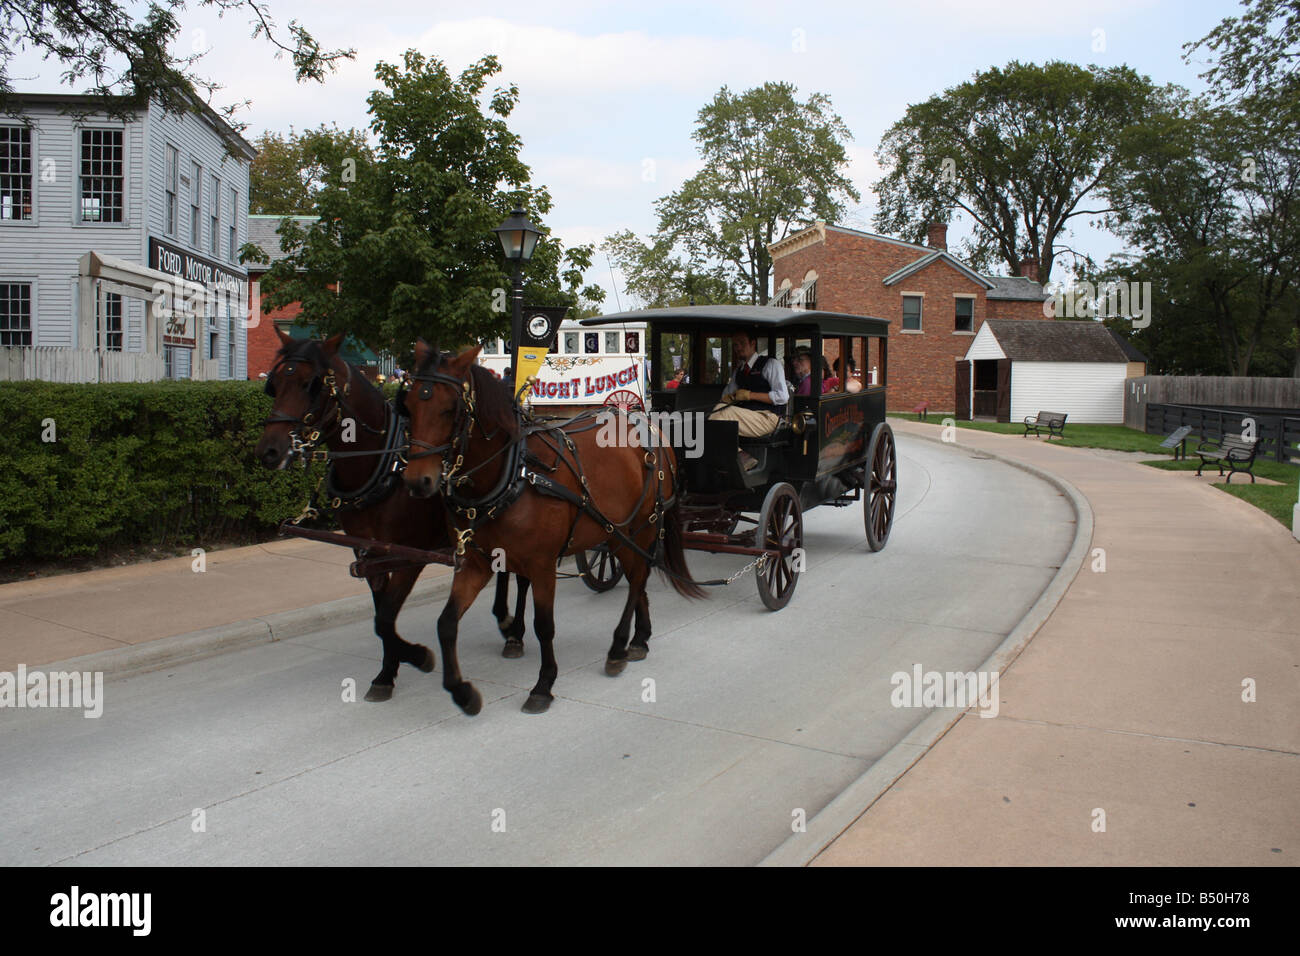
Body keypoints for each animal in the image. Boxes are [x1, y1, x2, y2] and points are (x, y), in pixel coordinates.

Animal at [253, 330, 527, 702]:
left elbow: (385, 618)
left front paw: (419, 657)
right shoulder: (370, 552)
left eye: (312, 384)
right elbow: (381, 618)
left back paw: (515, 632)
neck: (383, 466)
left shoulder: (410, 554)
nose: (270, 450)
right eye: (276, 383)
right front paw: (387, 672)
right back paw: (504, 621)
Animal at [405, 340, 707, 712]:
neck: (514, 474)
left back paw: (619, 646)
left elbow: (544, 625)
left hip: (641, 526)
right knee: (638, 574)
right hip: (618, 533)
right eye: (407, 406)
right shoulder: (477, 562)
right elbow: (446, 623)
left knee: (638, 578)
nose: (418, 481)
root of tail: (647, 425)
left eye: (450, 409)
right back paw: (640, 637)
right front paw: (462, 691)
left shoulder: (541, 564)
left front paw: (543, 684)